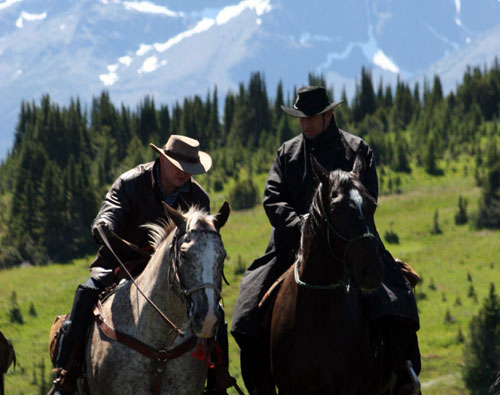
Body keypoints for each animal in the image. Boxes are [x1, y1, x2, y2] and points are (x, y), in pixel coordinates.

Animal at [270, 158, 390, 395]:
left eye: (372, 205)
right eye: (336, 209)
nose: (372, 271)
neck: (317, 311)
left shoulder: (350, 387)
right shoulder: (289, 387)